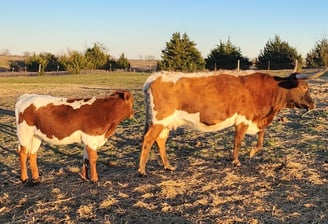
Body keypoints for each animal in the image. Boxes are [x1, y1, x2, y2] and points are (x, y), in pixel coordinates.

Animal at [137, 69, 326, 176]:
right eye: (304, 87)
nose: (313, 104)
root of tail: (155, 76)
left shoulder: (256, 120)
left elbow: (261, 139)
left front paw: (252, 152)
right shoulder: (243, 120)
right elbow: (238, 142)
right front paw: (236, 161)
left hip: (165, 123)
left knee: (160, 141)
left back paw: (168, 166)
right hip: (159, 120)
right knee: (148, 140)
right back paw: (142, 170)